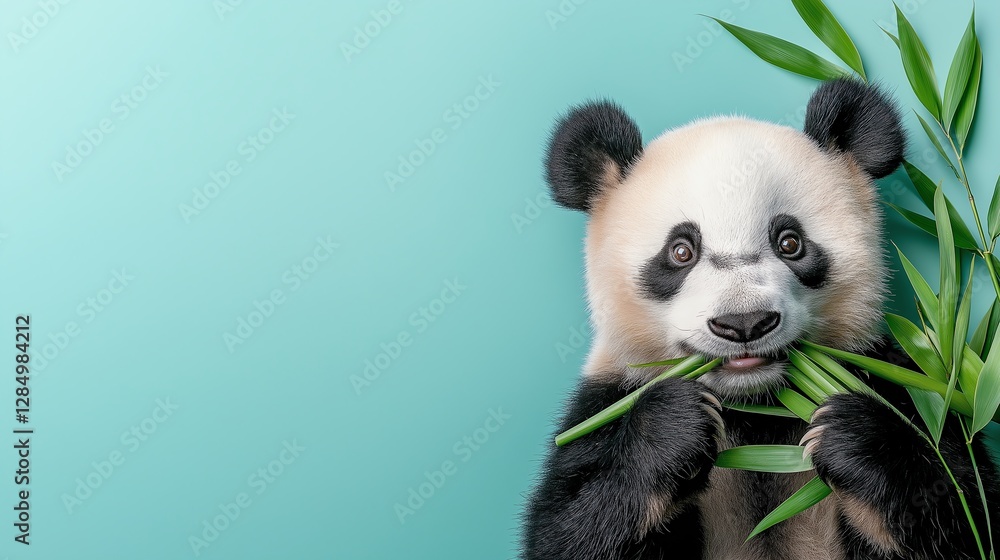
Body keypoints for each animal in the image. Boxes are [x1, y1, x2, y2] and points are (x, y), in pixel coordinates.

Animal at [521, 79, 1000, 560]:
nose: (745, 323)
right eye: (681, 251)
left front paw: (853, 436)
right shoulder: (604, 402)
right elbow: (570, 525)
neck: (756, 408)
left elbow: (965, 505)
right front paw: (675, 425)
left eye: (790, 242)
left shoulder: (900, 379)